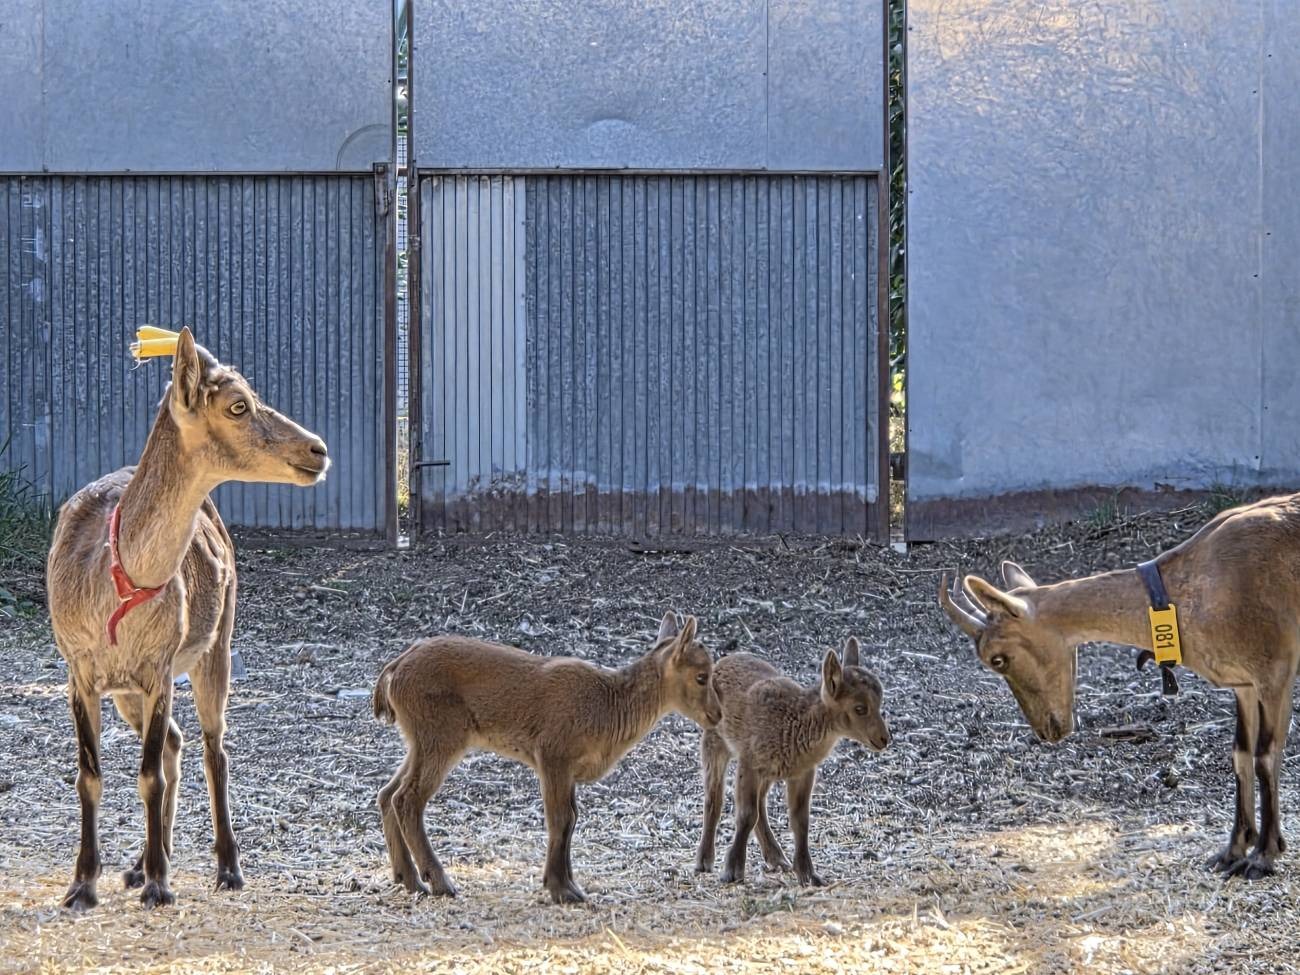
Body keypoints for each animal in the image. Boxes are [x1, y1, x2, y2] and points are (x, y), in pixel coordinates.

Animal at [46, 327, 329, 909]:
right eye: (238, 404)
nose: (318, 449)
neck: (116, 585)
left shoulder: (160, 663)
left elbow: (147, 774)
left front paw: (159, 885)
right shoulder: (77, 668)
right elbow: (90, 774)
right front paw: (83, 884)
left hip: (216, 645)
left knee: (212, 748)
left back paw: (225, 867)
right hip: (128, 690)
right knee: (176, 742)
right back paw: (139, 862)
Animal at [372, 612, 723, 903]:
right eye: (702, 676)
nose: (716, 714)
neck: (607, 707)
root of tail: (394, 670)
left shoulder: (569, 771)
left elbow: (572, 818)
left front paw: (571, 885)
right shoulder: (553, 755)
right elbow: (560, 818)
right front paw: (561, 889)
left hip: (419, 740)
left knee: (387, 793)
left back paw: (408, 878)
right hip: (442, 737)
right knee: (407, 798)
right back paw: (440, 882)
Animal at [694, 637, 890, 886]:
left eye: (880, 703)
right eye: (860, 708)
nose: (884, 739)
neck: (794, 722)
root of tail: (721, 663)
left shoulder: (803, 772)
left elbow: (800, 820)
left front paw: (809, 874)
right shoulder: (749, 761)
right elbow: (746, 814)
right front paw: (732, 870)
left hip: (769, 771)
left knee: (760, 803)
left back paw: (777, 858)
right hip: (714, 740)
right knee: (714, 798)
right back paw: (704, 861)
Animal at [938, 493, 1300, 878]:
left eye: (997, 659)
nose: (1048, 730)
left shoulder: (1275, 669)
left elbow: (1265, 756)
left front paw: (1264, 856)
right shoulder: (1243, 684)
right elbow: (1240, 754)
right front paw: (1232, 851)